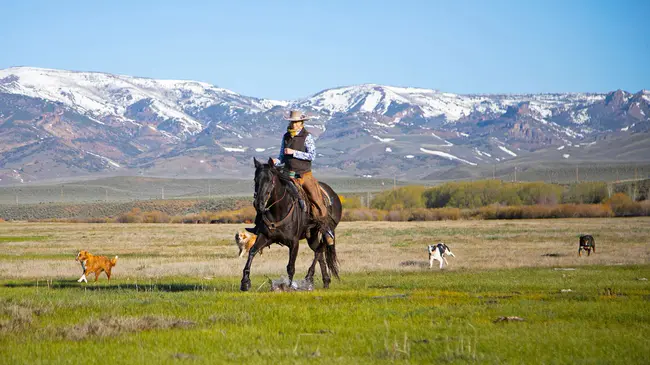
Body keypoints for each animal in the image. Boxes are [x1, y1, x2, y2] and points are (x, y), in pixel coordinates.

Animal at [239, 156, 342, 290]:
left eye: (270, 180)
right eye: (255, 179)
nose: (258, 204)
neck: (278, 211)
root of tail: (334, 194)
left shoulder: (294, 242)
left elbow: (290, 266)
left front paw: (288, 287)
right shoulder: (265, 237)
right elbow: (252, 252)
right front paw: (245, 282)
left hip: (326, 230)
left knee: (320, 250)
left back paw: (309, 277)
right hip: (312, 237)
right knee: (319, 252)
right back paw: (325, 281)